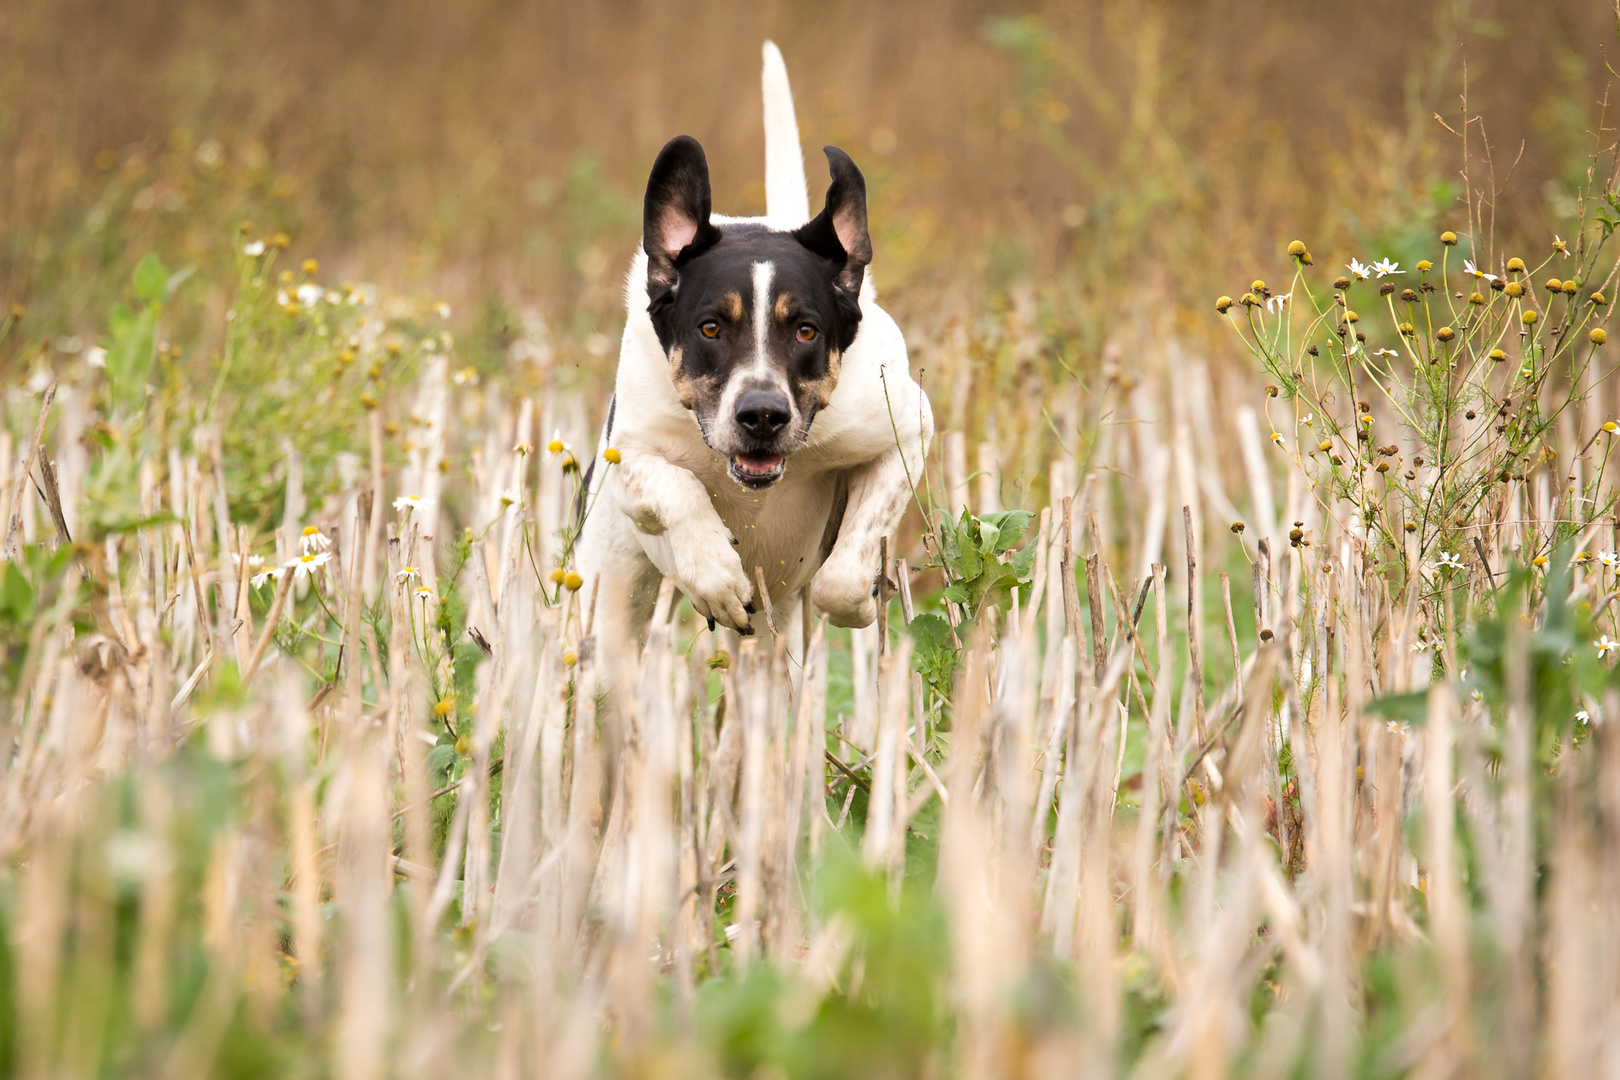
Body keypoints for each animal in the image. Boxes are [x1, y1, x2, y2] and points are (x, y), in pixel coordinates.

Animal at [579, 40, 939, 683]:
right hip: (606, 605)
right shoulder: (630, 453)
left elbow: (851, 559)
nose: (763, 416)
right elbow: (672, 484)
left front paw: (856, 598)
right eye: (711, 327)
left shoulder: (906, 426)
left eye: (805, 330)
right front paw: (716, 575)